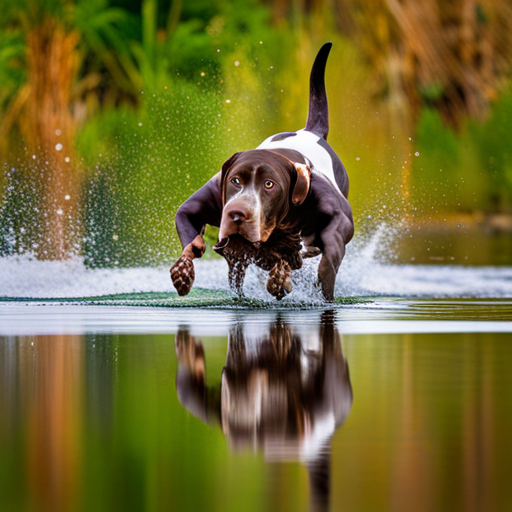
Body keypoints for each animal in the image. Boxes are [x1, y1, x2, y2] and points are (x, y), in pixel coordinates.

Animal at [170, 44, 354, 302]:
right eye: (235, 180)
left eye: (269, 184)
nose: (237, 214)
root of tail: (311, 131)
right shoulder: (199, 205)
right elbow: (191, 240)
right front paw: (183, 271)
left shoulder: (334, 219)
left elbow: (326, 262)